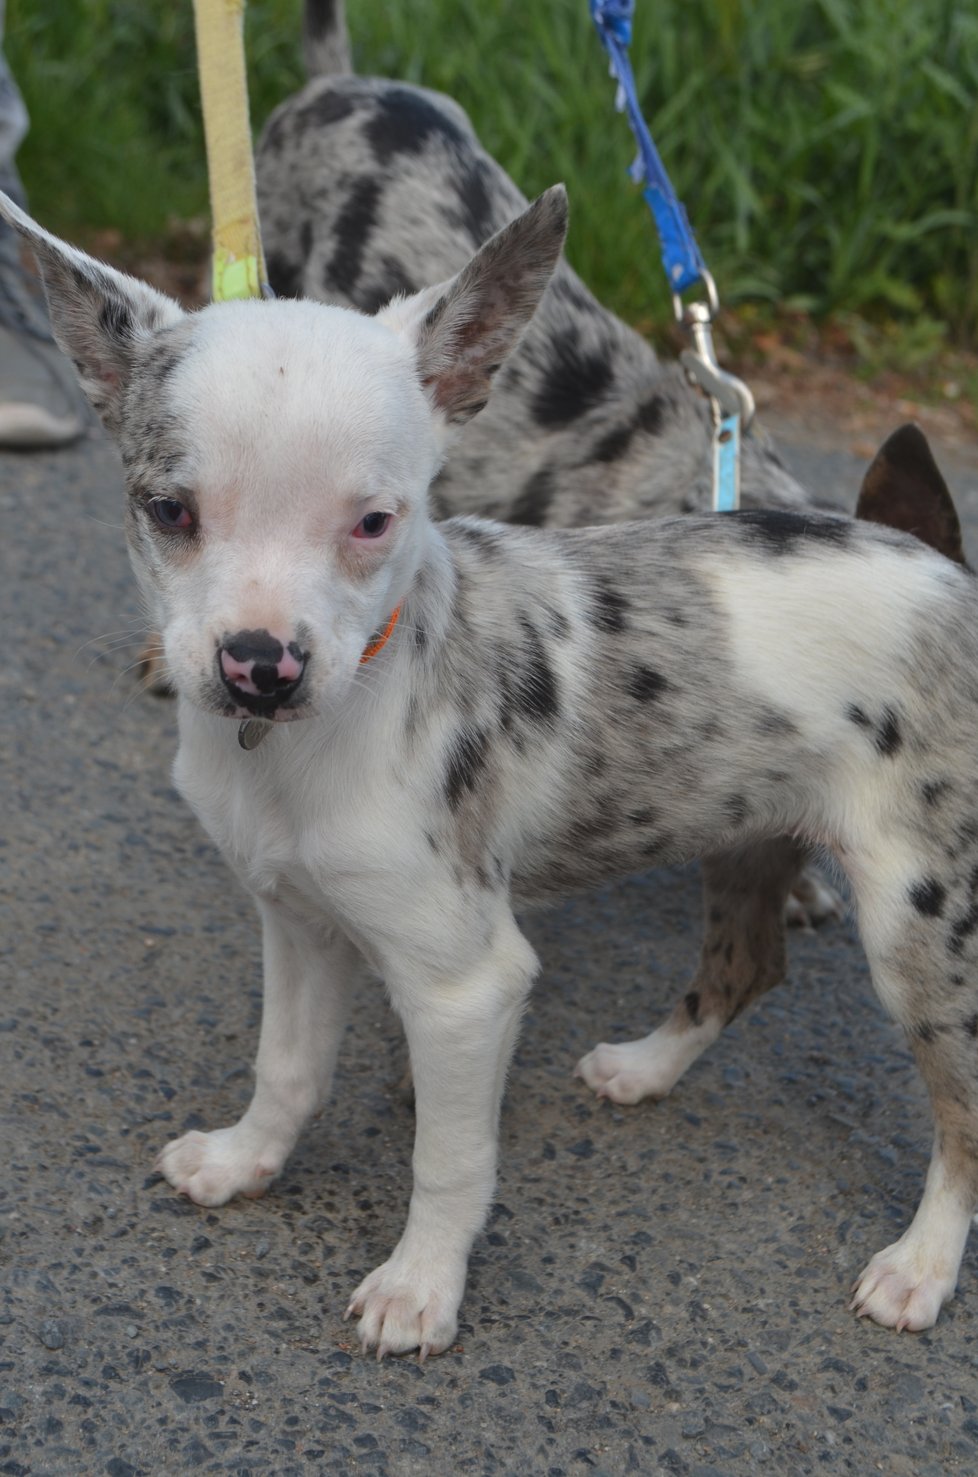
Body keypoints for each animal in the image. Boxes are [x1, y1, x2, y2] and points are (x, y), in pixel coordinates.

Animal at [3, 187, 975, 1358]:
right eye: (170, 511)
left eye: (376, 521)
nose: (260, 668)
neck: (311, 742)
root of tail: (950, 572)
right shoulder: (300, 919)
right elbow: (287, 1066)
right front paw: (245, 1161)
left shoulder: (465, 986)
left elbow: (450, 1156)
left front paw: (422, 1286)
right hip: (745, 832)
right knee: (747, 964)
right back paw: (645, 1067)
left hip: (921, 921)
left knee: (964, 1108)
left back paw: (921, 1264)